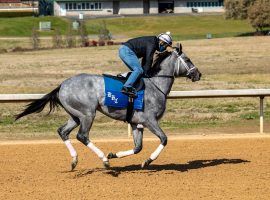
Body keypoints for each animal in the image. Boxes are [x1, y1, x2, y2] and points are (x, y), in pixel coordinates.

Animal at [14, 44, 200, 171]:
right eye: (188, 59)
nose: (198, 74)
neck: (155, 85)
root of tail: (62, 86)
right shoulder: (150, 120)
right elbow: (164, 139)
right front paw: (148, 161)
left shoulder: (136, 123)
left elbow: (137, 147)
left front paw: (115, 154)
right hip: (88, 113)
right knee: (82, 136)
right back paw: (104, 160)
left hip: (75, 115)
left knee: (63, 131)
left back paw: (75, 160)